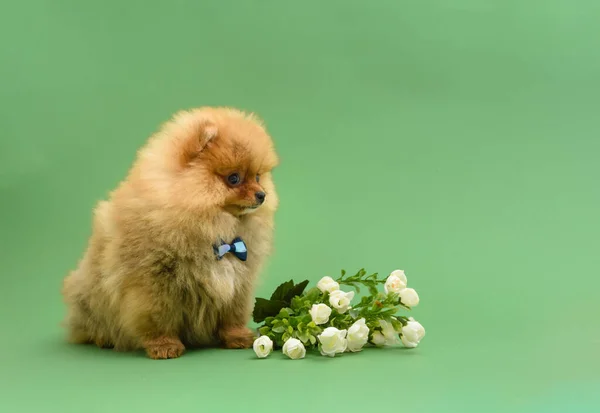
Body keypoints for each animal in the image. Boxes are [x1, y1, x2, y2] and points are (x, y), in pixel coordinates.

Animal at [61, 106, 278, 358]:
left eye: (258, 177)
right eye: (234, 178)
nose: (262, 195)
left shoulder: (239, 283)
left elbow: (231, 315)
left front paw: (237, 337)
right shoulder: (153, 284)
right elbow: (157, 318)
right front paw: (164, 345)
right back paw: (103, 338)